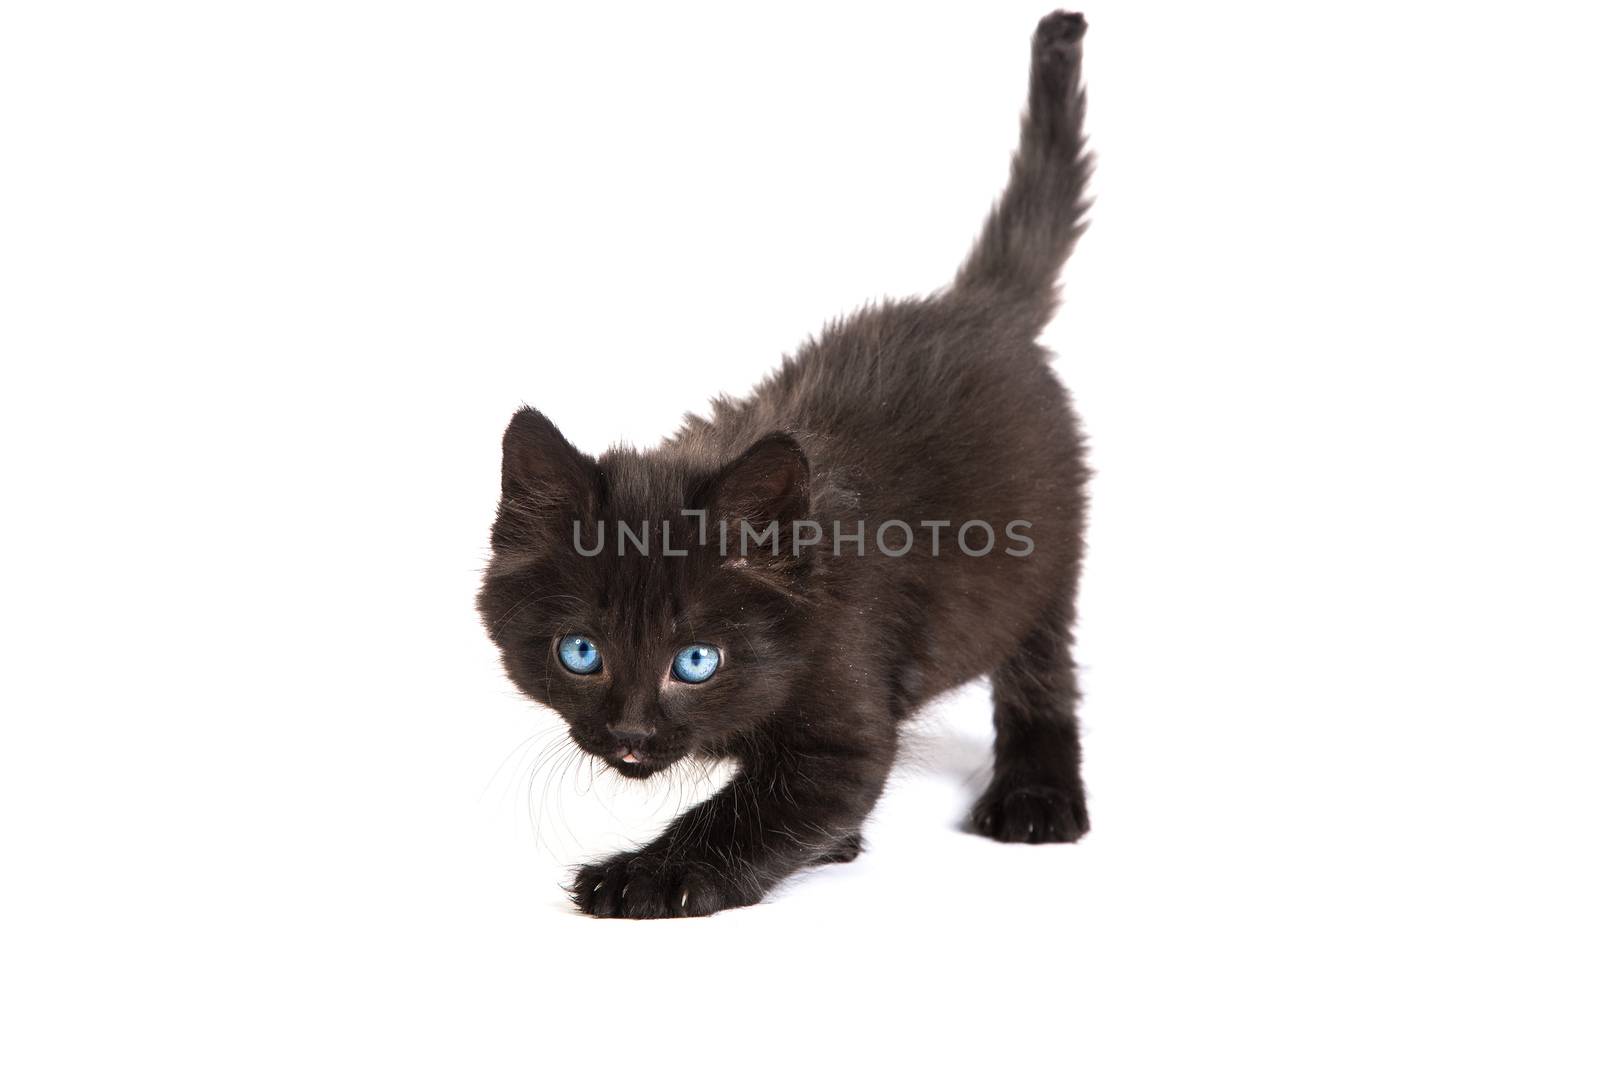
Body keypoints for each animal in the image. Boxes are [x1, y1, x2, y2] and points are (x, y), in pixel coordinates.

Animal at [480, 12, 1094, 921]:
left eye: (697, 660)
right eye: (579, 651)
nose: (631, 735)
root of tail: (981, 304)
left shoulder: (846, 705)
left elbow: (756, 809)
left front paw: (643, 876)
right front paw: (829, 845)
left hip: (1042, 561)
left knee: (1043, 672)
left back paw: (1037, 797)